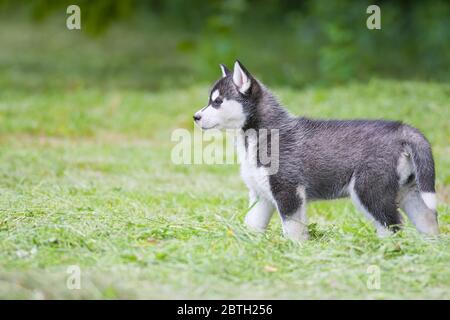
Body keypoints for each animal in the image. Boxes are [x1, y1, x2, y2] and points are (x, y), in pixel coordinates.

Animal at [194, 60, 440, 240]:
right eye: (210, 100)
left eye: (217, 102)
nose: (195, 117)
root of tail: (402, 129)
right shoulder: (261, 196)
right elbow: (252, 225)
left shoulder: (289, 192)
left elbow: (293, 229)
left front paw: (295, 250)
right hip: (409, 191)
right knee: (428, 219)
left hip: (369, 191)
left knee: (392, 225)